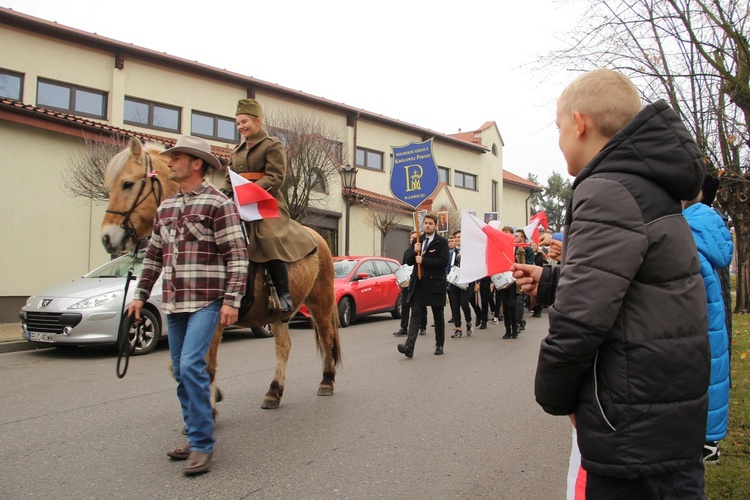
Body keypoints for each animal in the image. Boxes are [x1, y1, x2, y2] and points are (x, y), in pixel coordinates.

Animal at [101, 135, 342, 408]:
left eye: (128, 183)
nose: (107, 237)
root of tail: (318, 239)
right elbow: (183, 365)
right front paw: (210, 393)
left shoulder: (213, 315)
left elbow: (206, 363)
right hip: (280, 314)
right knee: (284, 346)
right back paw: (274, 391)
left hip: (319, 302)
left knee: (326, 337)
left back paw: (326, 381)